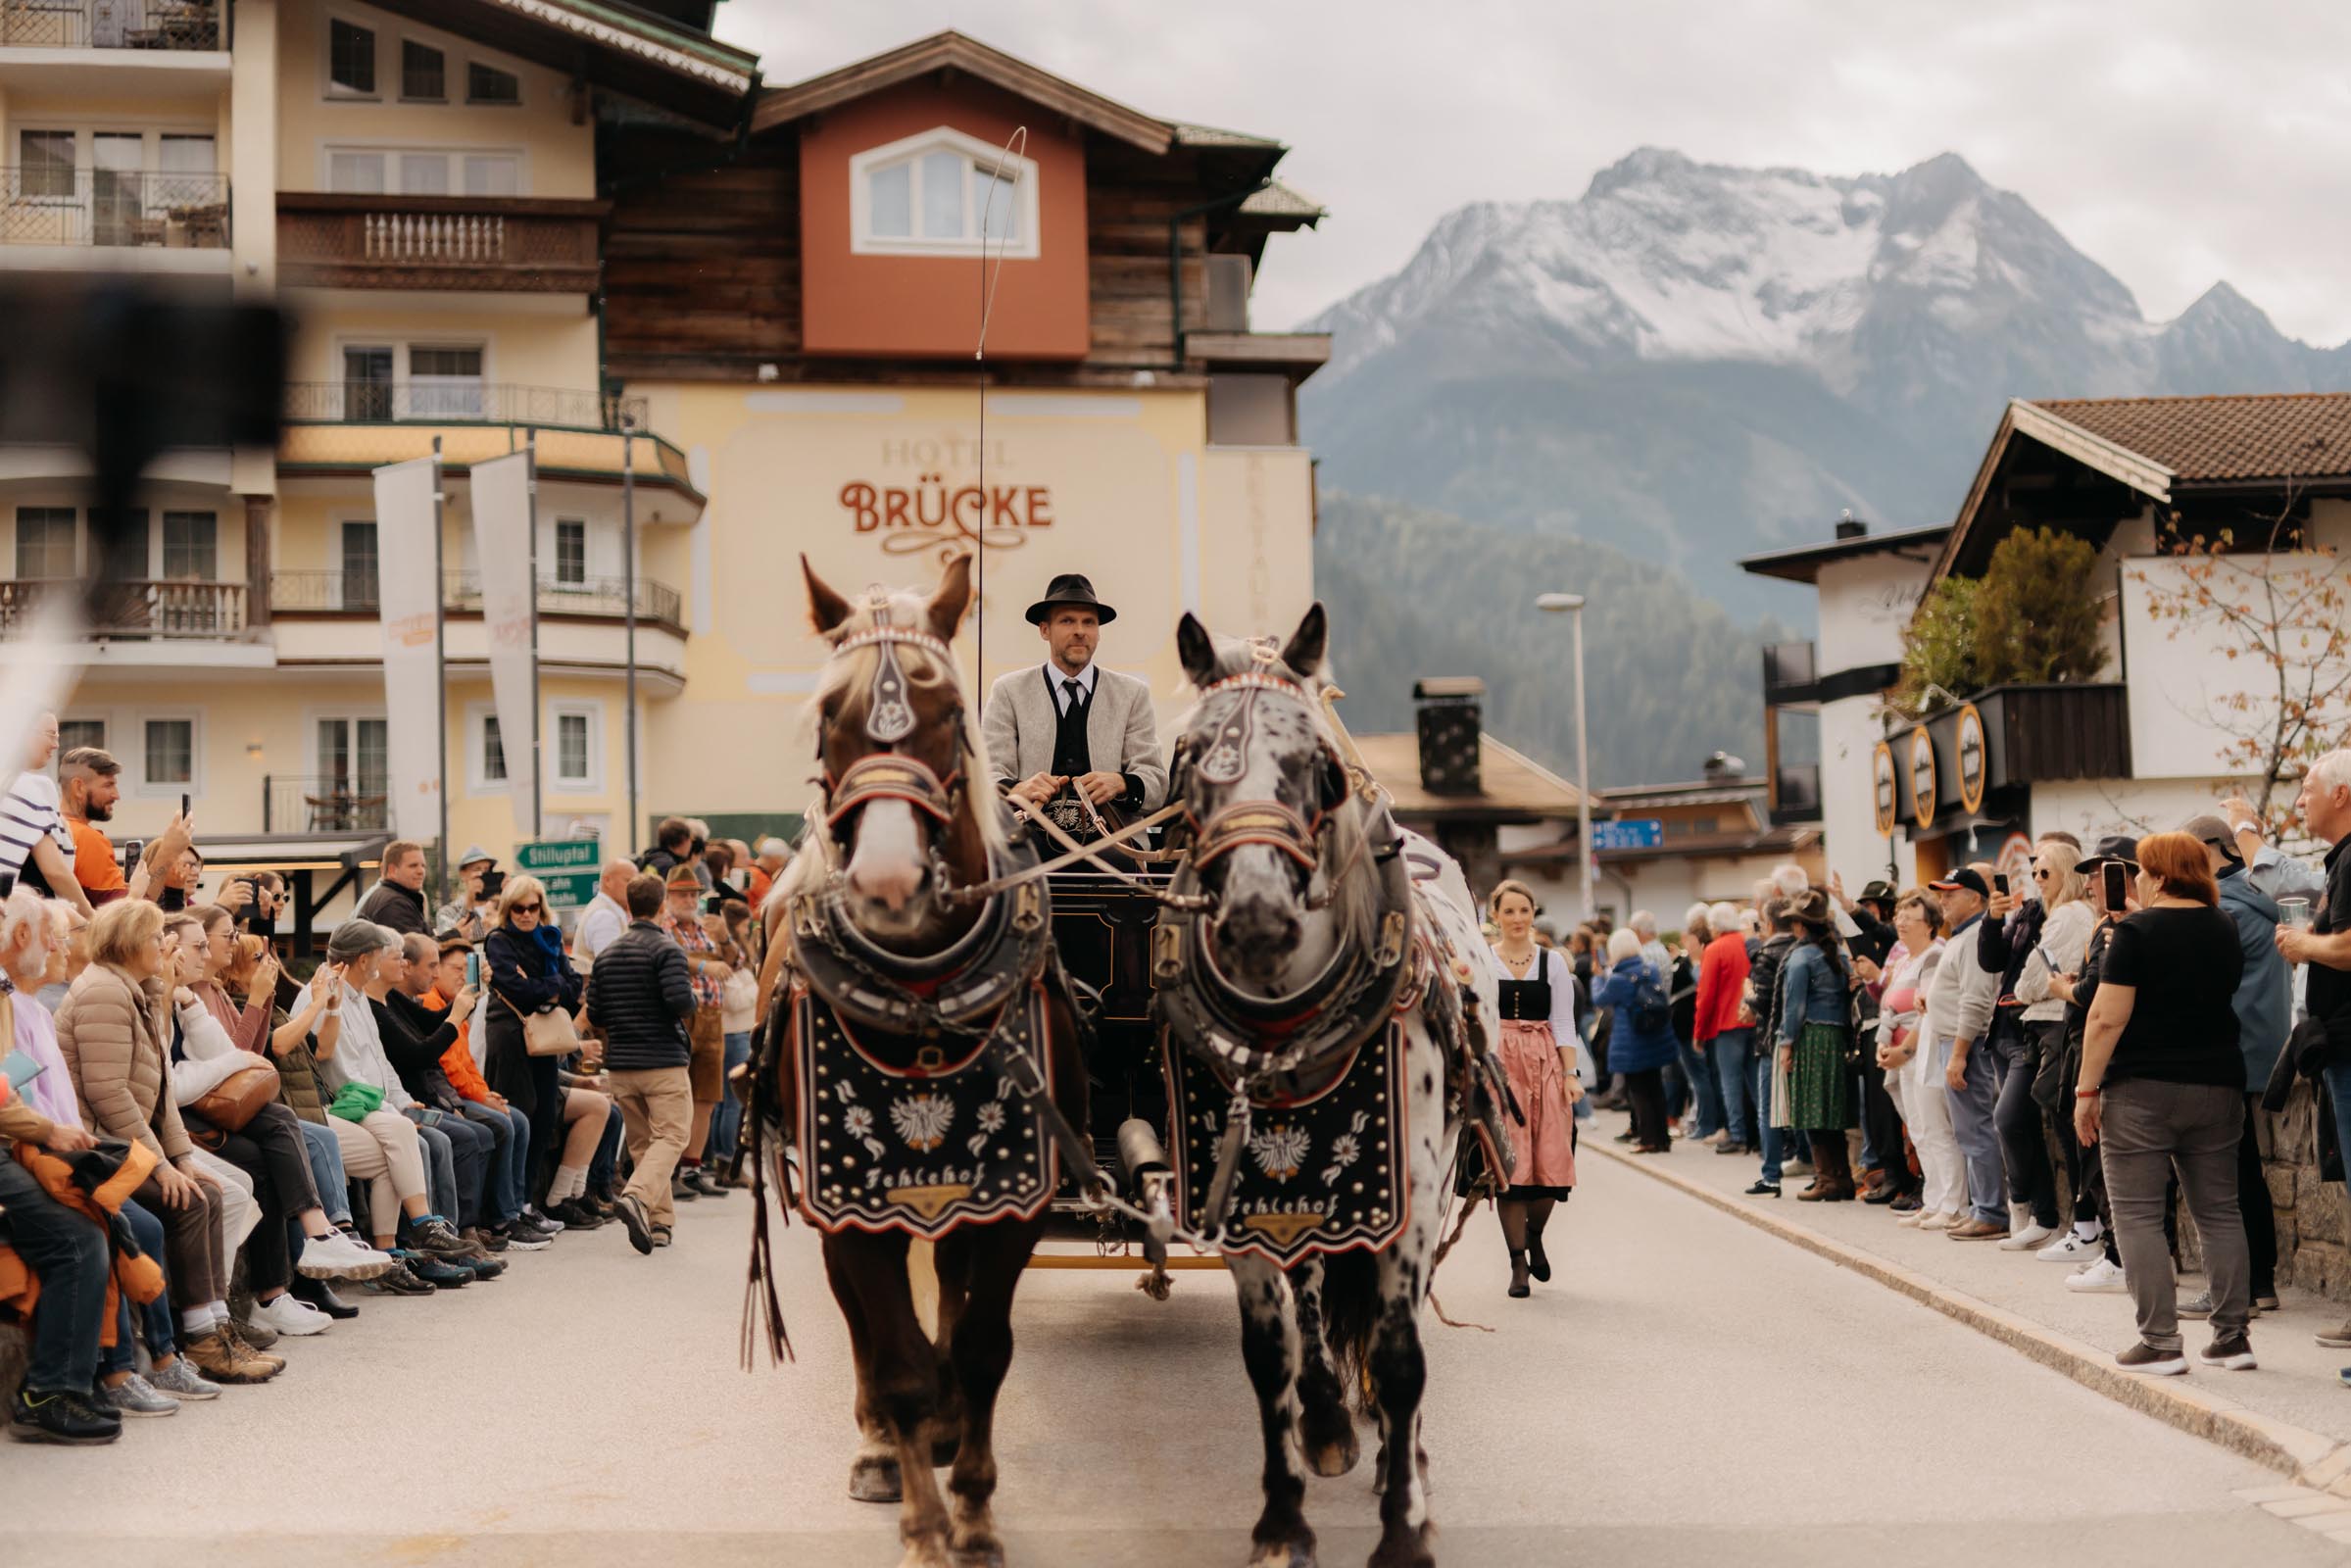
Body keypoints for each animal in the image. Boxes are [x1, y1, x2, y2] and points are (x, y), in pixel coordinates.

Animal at [757, 551, 1089, 1568]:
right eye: (829, 714)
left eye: (946, 713)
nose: (888, 881)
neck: (922, 996)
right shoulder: (853, 1198)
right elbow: (896, 1356)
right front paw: (925, 1525)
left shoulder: (1017, 1191)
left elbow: (983, 1346)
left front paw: (974, 1508)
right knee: (861, 1318)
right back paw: (879, 1447)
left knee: (944, 1278)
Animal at [1155, 602, 1503, 1568]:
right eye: (1190, 757)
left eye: (1313, 764)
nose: (1255, 919)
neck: (1287, 1032)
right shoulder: (1241, 1201)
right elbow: (1270, 1352)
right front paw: (1282, 1523)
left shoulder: (1407, 1197)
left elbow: (1400, 1357)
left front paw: (1404, 1526)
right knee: (1312, 1302)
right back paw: (1329, 1422)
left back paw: (1395, 1453)